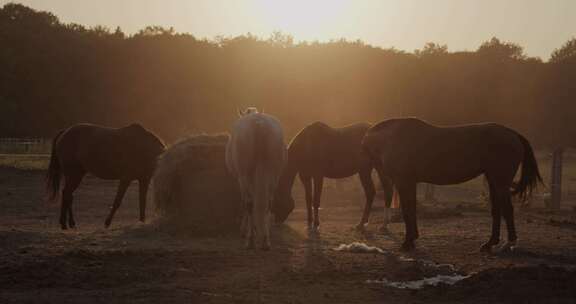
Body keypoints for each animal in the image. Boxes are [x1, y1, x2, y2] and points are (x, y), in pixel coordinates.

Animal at [226, 107, 286, 249]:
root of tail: (260, 124)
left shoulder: (242, 179)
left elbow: (245, 203)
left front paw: (245, 230)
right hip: (273, 175)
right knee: (268, 203)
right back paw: (265, 240)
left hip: (244, 176)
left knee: (249, 203)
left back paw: (251, 240)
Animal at [362, 117, 544, 251]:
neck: (393, 139)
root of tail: (512, 133)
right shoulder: (410, 183)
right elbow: (411, 210)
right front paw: (412, 238)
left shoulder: (404, 182)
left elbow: (407, 212)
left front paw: (407, 243)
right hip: (493, 181)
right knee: (497, 210)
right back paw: (490, 243)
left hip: (500, 182)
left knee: (507, 210)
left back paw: (509, 243)